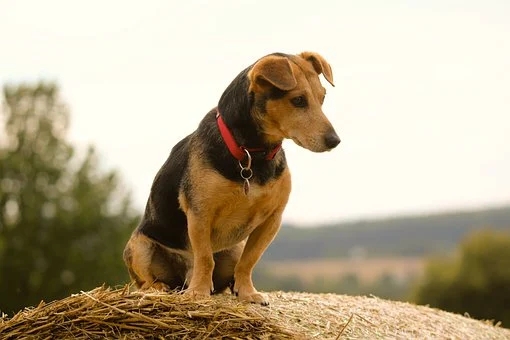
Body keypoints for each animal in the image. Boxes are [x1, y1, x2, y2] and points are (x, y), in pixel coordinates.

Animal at [122, 51, 338, 306]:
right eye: (298, 100)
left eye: (322, 98)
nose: (335, 140)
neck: (252, 155)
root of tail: (181, 279)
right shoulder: (200, 213)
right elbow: (205, 258)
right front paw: (199, 292)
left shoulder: (272, 219)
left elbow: (248, 261)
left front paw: (247, 293)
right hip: (140, 246)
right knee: (146, 281)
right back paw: (163, 288)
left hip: (232, 249)